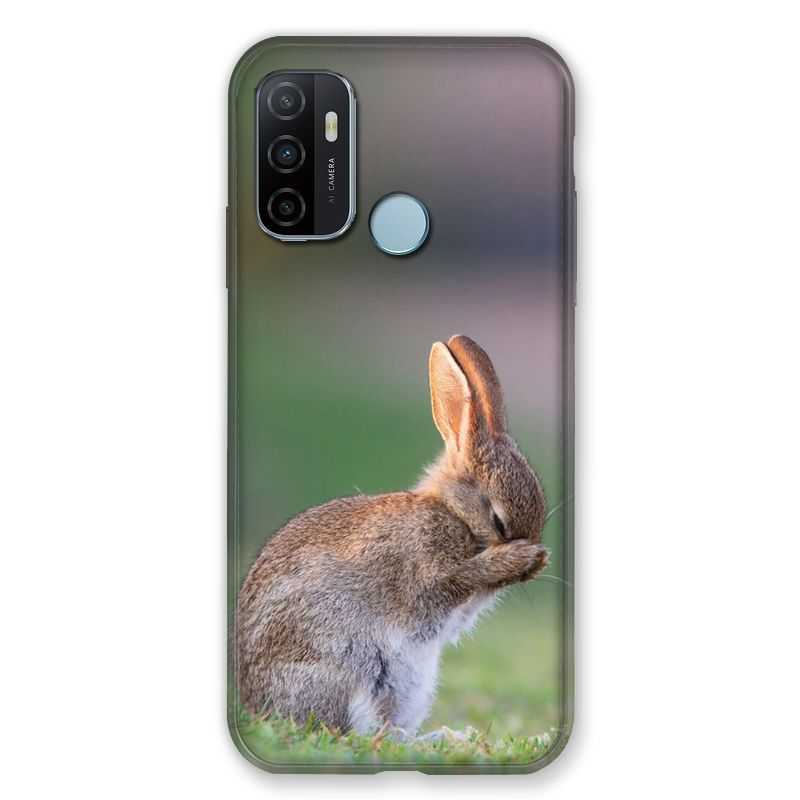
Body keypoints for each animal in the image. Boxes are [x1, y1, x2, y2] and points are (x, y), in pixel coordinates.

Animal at [236, 334, 549, 736]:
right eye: (498, 521)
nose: (534, 556)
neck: (453, 512)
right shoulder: (426, 571)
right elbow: (454, 580)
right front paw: (519, 558)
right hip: (350, 668)